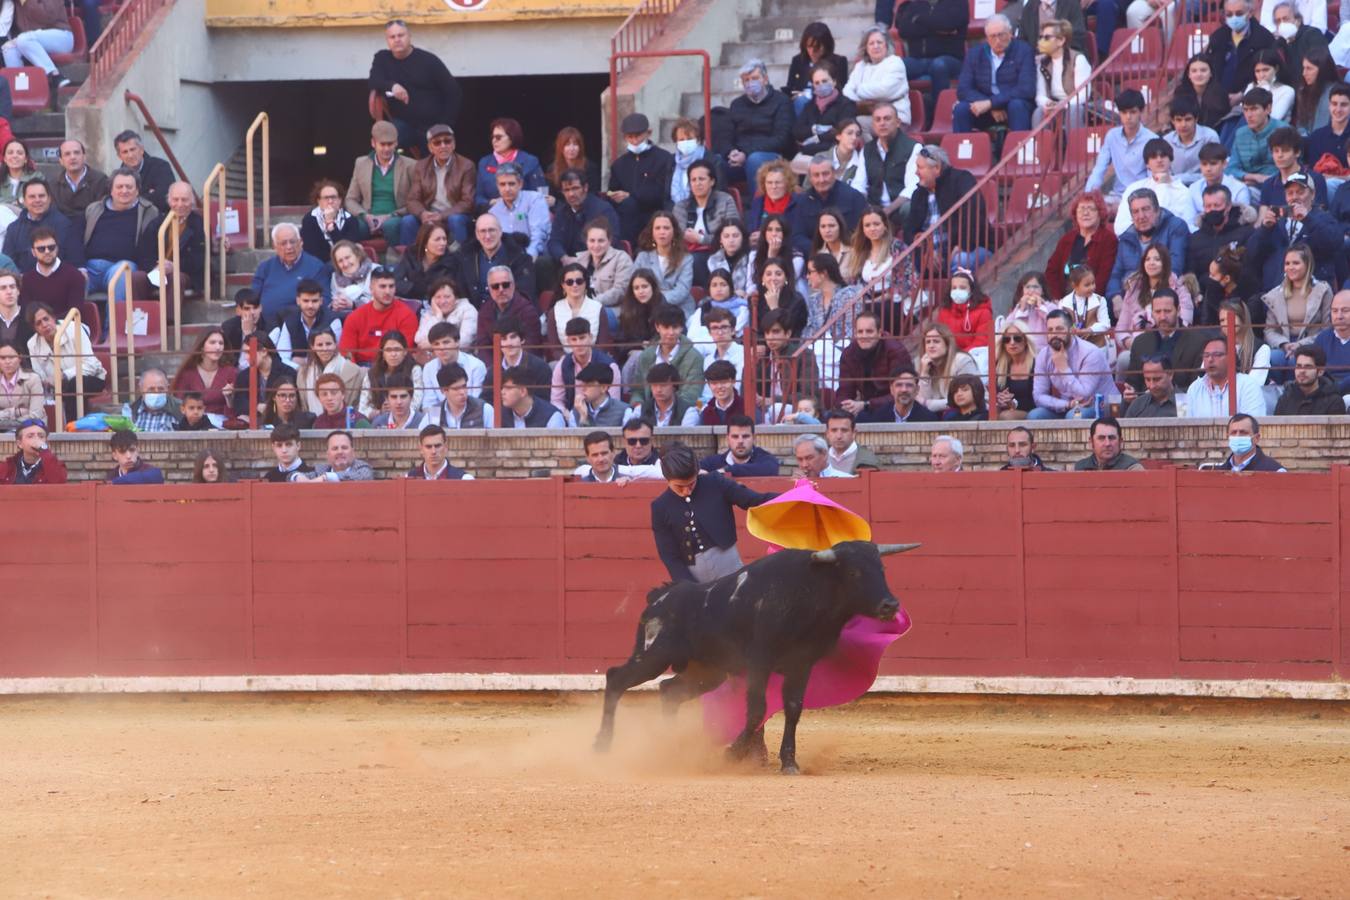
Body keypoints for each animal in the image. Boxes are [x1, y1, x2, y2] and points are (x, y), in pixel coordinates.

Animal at [591, 542, 918, 777]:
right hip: (652, 655)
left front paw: (789, 762)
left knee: (669, 690)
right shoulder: (759, 663)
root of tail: (659, 598)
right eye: (854, 573)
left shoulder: (802, 665)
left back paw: (669, 745)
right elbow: (757, 709)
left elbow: (793, 708)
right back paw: (602, 744)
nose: (890, 605)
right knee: (616, 678)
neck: (807, 593)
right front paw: (731, 754)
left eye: (881, 568)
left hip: (706, 672)